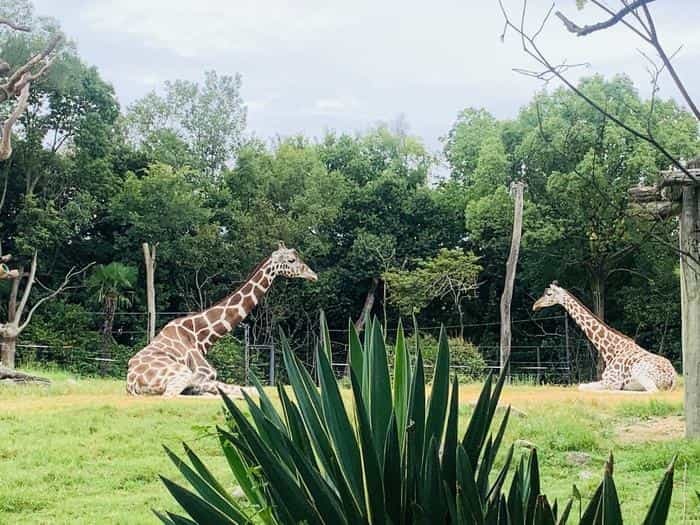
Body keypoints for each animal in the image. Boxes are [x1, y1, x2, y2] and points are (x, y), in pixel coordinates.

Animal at [126, 244, 318, 396]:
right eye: (291, 260)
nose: (313, 275)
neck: (199, 337)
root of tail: (131, 383)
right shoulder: (202, 374)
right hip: (180, 374)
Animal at [532, 282, 676, 388]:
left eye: (549, 294)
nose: (535, 305)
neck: (610, 351)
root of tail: (673, 377)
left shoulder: (612, 381)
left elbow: (581, 386)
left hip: (641, 374)